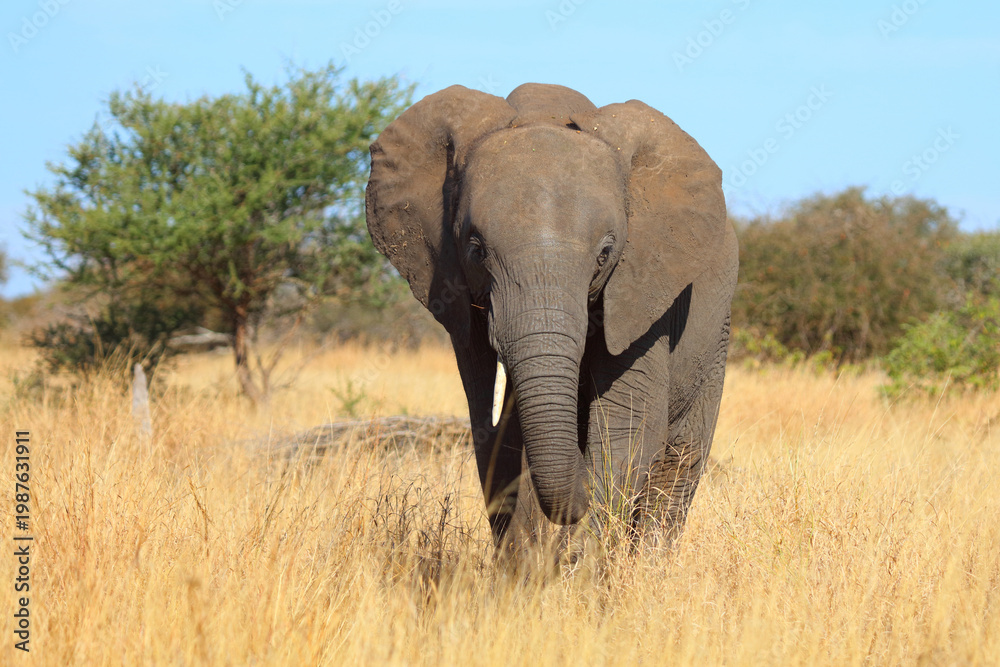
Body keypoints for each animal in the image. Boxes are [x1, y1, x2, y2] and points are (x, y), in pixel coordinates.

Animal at [365, 83, 738, 549]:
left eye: (605, 254)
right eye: (476, 249)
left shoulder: (642, 291)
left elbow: (626, 424)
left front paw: (579, 557)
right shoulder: (459, 297)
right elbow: (495, 436)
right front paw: (531, 560)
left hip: (716, 339)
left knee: (680, 463)